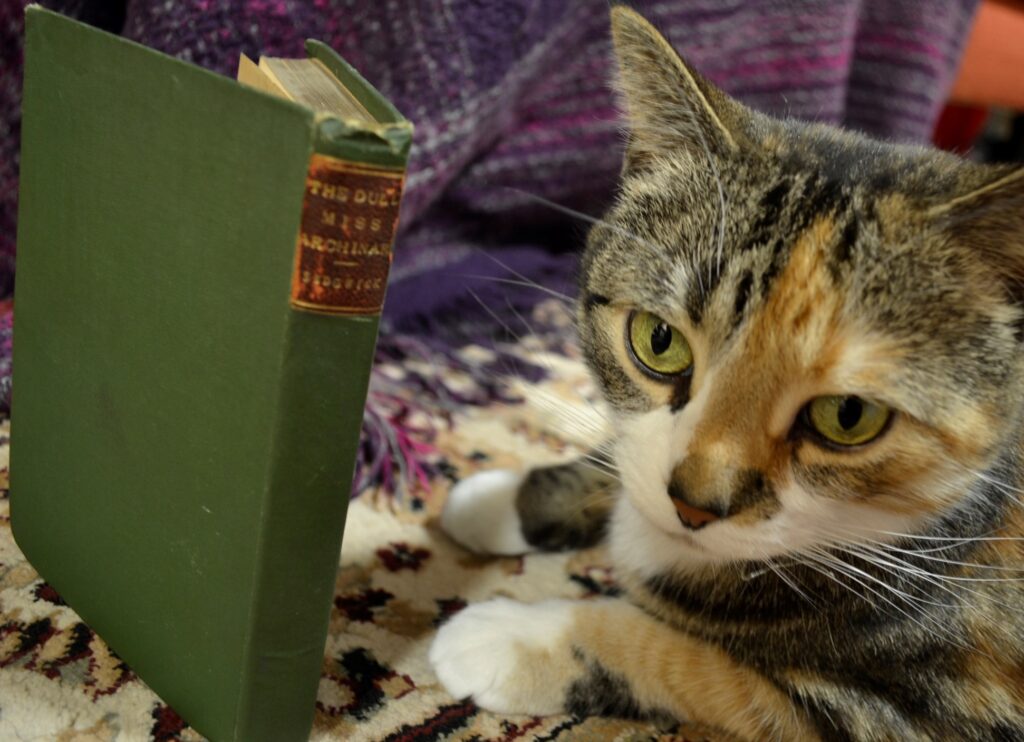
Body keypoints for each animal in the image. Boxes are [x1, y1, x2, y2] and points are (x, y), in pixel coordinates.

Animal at [423, 7, 1024, 740]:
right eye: (659, 342)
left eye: (848, 416)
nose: (695, 504)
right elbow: (624, 459)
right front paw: (501, 499)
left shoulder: (901, 716)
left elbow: (685, 658)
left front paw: (505, 637)